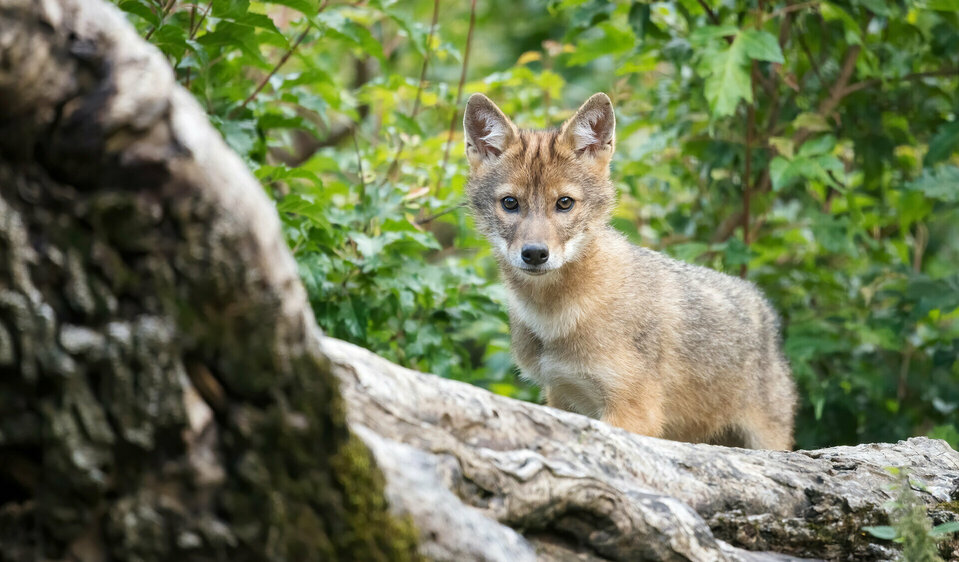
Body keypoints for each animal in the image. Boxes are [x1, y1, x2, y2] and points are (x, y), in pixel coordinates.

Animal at [462, 92, 797, 450]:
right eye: (510, 203)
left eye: (564, 203)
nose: (535, 254)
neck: (554, 320)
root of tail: (763, 305)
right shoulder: (562, 397)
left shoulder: (634, 413)